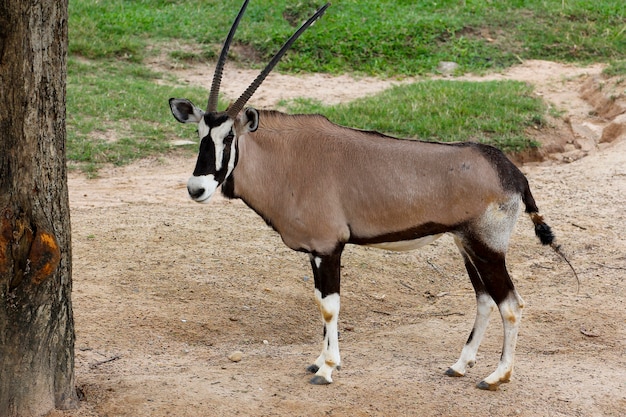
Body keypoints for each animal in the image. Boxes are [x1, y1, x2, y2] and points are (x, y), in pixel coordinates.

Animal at [168, 0, 568, 390]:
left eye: (229, 138)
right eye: (200, 135)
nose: (197, 188)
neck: (288, 159)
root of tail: (511, 170)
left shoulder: (329, 248)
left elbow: (329, 306)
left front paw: (327, 370)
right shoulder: (316, 253)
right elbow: (319, 300)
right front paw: (321, 360)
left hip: (487, 247)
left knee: (510, 304)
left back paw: (497, 376)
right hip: (466, 244)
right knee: (485, 300)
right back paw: (459, 365)